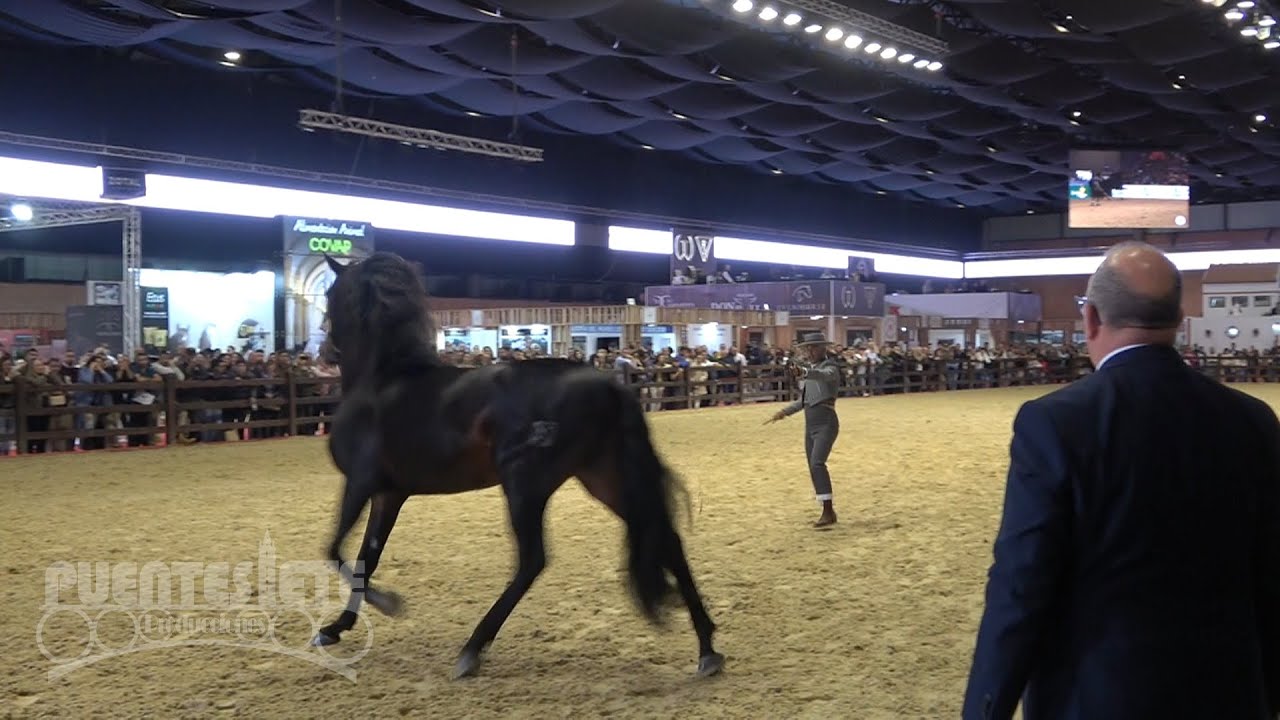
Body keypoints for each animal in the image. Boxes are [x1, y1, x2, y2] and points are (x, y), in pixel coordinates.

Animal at [310, 251, 725, 680]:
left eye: (330, 294)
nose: (323, 350)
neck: (382, 381)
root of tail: (610, 384)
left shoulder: (359, 482)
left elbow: (334, 549)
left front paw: (385, 603)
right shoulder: (389, 494)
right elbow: (366, 556)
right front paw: (337, 627)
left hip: (525, 484)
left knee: (532, 560)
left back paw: (472, 649)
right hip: (604, 478)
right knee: (667, 539)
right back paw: (707, 649)